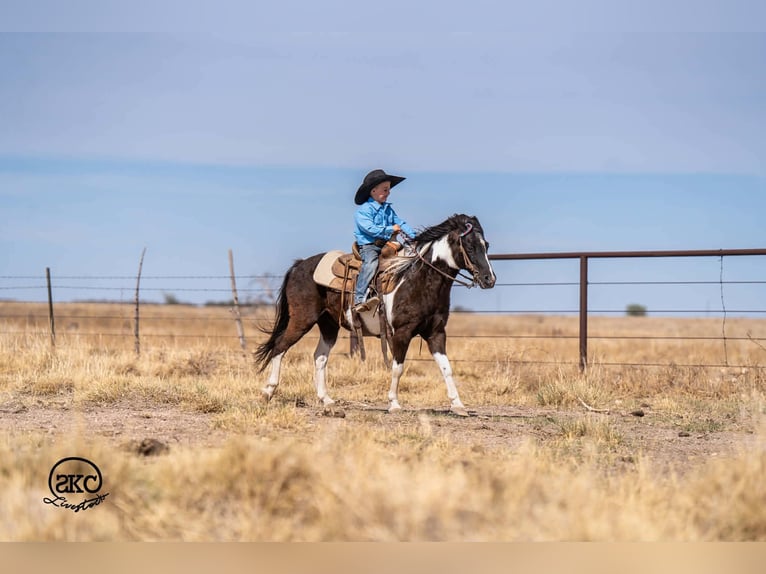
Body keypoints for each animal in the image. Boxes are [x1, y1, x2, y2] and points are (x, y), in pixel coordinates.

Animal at [254, 213, 497, 416]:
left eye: (486, 245)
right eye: (469, 245)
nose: (489, 279)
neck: (418, 281)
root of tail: (299, 265)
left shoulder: (436, 333)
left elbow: (447, 368)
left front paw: (458, 405)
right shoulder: (401, 333)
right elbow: (398, 368)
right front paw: (394, 404)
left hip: (329, 324)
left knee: (319, 357)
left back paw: (327, 400)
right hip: (302, 320)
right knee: (280, 347)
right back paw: (267, 392)